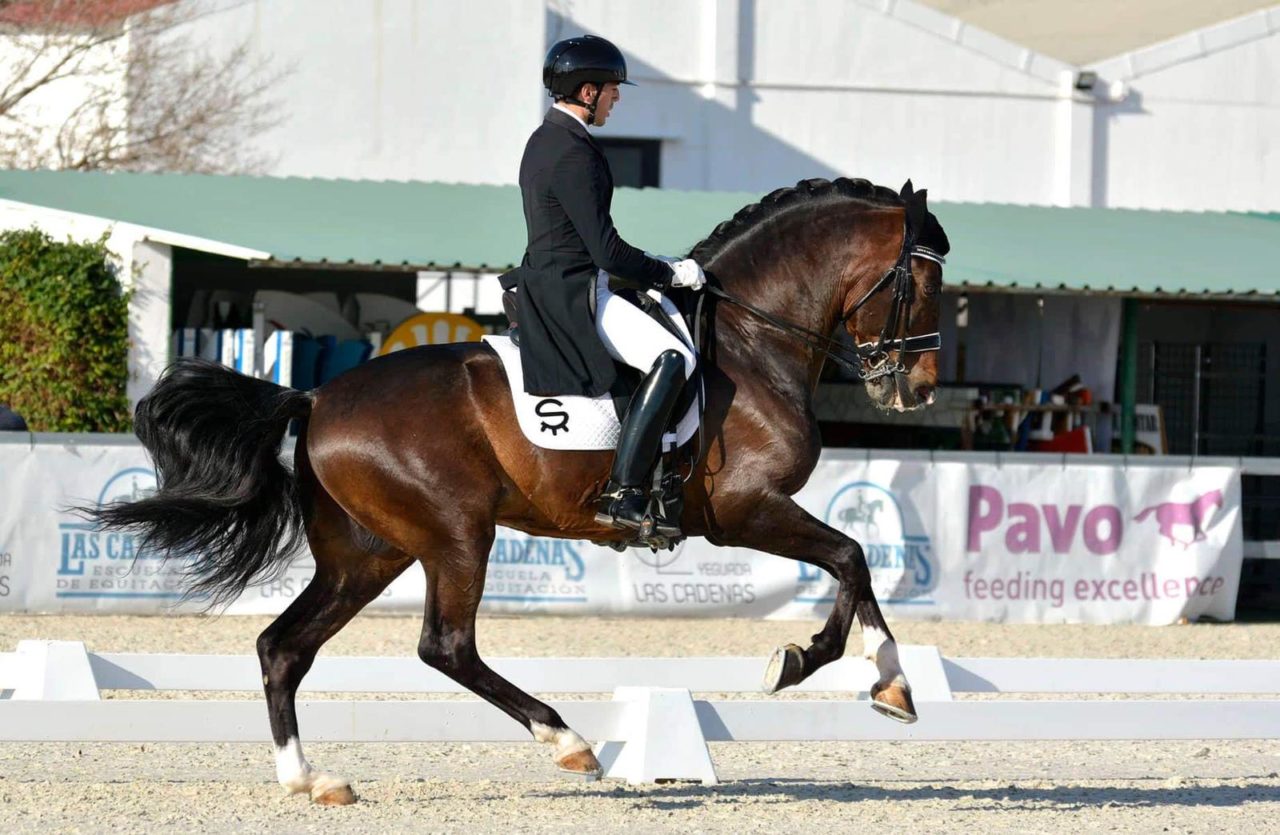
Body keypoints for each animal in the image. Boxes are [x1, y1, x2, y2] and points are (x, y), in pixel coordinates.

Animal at [90, 176, 952, 804]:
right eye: (920, 280)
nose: (916, 388)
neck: (750, 340)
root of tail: (318, 395)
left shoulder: (754, 513)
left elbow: (853, 563)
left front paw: (879, 679)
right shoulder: (746, 509)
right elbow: (851, 557)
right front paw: (834, 668)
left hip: (367, 554)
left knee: (284, 647)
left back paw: (311, 780)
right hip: (455, 535)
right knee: (444, 645)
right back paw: (568, 742)